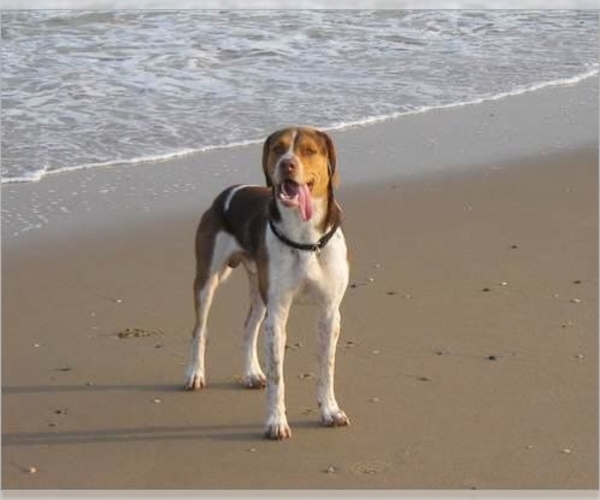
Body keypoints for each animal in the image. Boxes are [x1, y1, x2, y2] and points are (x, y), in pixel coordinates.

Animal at [185, 127, 350, 440]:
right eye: (278, 148)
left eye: (309, 150)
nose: (287, 164)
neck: (304, 236)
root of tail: (227, 193)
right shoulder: (278, 314)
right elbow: (277, 377)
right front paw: (276, 422)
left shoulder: (330, 312)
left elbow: (327, 368)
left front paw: (330, 411)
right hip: (207, 280)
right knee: (199, 330)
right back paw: (194, 374)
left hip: (259, 290)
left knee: (249, 327)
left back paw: (250, 373)